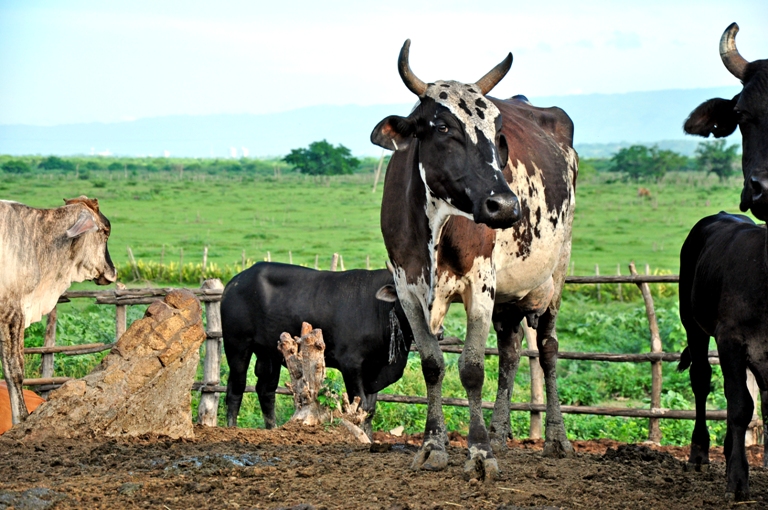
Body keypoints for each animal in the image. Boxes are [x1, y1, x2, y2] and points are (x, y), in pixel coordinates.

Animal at [221, 262, 413, 437]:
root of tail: (235, 281)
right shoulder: (351, 365)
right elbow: (360, 407)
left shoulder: (374, 371)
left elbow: (370, 410)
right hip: (237, 345)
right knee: (235, 389)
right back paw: (231, 429)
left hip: (268, 354)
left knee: (266, 390)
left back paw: (272, 429)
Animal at [371, 40, 577, 480]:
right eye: (442, 128)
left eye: (497, 134)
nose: (506, 206)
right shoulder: (406, 288)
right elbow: (433, 364)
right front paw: (433, 446)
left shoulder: (480, 285)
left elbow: (471, 368)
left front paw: (479, 452)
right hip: (508, 296)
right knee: (511, 350)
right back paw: (500, 432)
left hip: (556, 274)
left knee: (547, 347)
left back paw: (555, 438)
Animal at [678, 212, 768, 501]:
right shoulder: (731, 340)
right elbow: (741, 406)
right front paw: (738, 481)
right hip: (692, 324)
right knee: (701, 379)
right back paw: (698, 453)